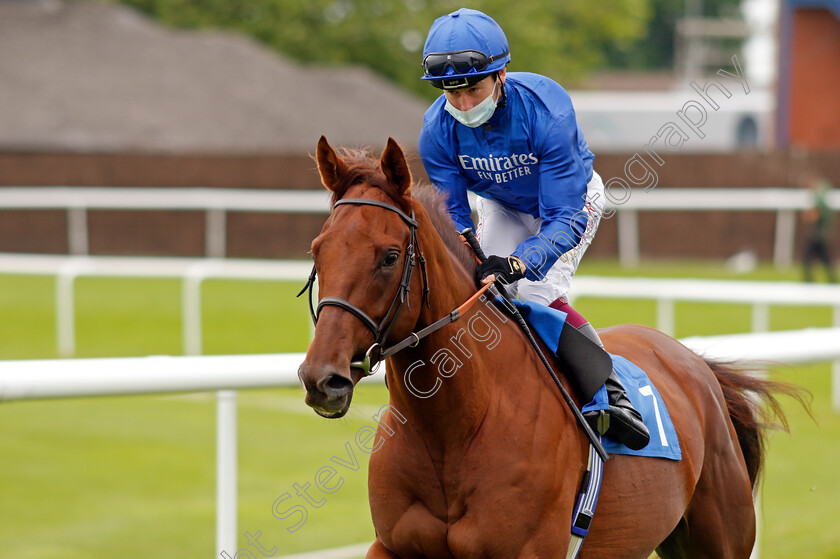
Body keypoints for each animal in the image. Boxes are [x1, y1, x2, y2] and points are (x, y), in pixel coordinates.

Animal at [300, 138, 788, 559]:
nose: (322, 378)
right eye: (317, 251)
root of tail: (695, 363)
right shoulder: (392, 546)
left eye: (389, 257)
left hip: (719, 538)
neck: (455, 427)